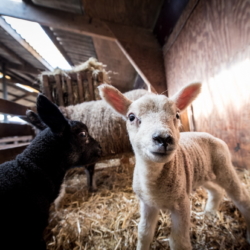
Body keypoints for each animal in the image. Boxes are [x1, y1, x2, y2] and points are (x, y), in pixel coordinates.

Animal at [98, 83, 250, 250]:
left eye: (177, 115)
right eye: (131, 117)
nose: (163, 138)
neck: (153, 185)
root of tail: (211, 135)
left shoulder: (181, 202)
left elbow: (179, 241)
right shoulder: (147, 204)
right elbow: (144, 233)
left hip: (224, 167)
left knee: (241, 195)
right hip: (202, 174)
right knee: (216, 190)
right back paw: (209, 212)